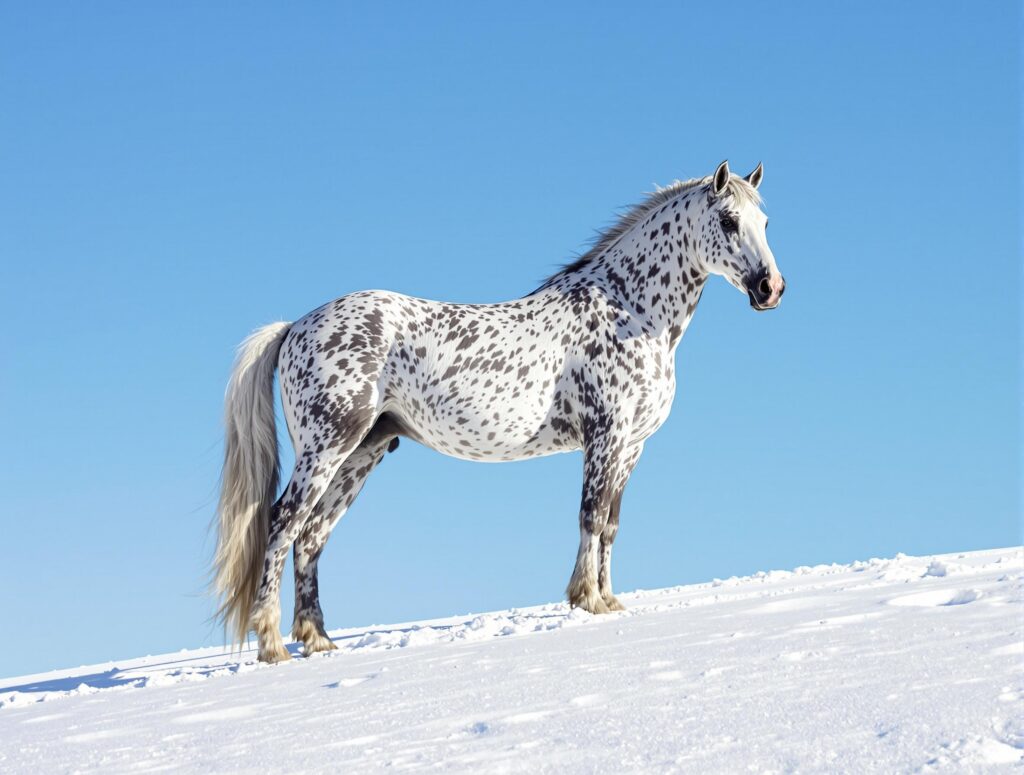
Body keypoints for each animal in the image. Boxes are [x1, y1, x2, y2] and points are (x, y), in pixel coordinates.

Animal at [212, 160, 785, 663]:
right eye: (728, 220)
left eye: (764, 222)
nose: (770, 288)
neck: (629, 310)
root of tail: (294, 327)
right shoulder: (605, 437)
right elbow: (591, 515)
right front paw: (588, 600)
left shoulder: (631, 447)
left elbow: (612, 524)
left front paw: (609, 601)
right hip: (327, 446)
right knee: (283, 523)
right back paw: (270, 645)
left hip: (362, 452)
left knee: (313, 535)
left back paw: (319, 641)